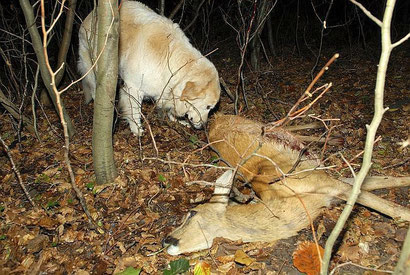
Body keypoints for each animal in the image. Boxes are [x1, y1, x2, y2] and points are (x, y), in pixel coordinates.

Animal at [76, 0, 218, 135]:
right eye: (208, 107)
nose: (204, 126)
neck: (170, 59)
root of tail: (90, 15)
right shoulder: (133, 88)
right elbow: (134, 111)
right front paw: (136, 129)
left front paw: (177, 120)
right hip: (92, 67)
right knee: (94, 90)